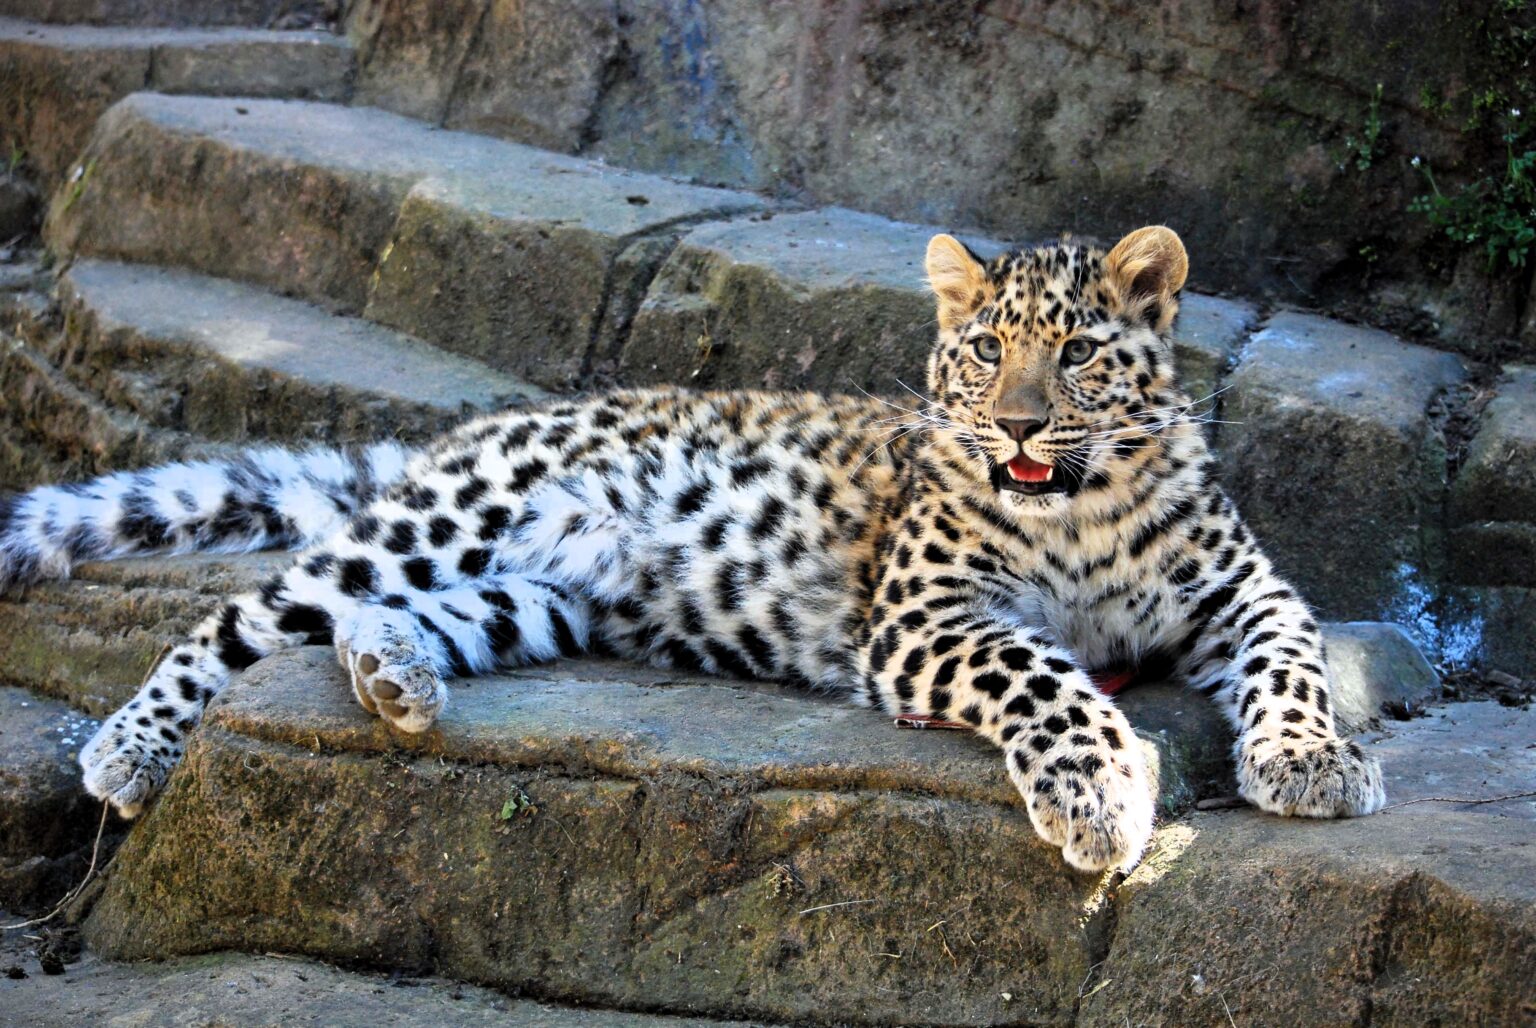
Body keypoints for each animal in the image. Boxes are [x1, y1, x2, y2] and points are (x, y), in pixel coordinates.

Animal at [0, 224, 1388, 866]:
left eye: (1082, 351)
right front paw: (1101, 794)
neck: (1082, 510)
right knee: (244, 616)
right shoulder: (928, 616)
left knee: (389, 617)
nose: (1019, 423)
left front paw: (1315, 761)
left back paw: (398, 674)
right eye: (989, 349)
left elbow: (1298, 655)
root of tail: (494, 420)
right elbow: (1047, 675)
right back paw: (130, 745)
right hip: (450, 517)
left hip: (543, 592)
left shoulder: (1243, 588)